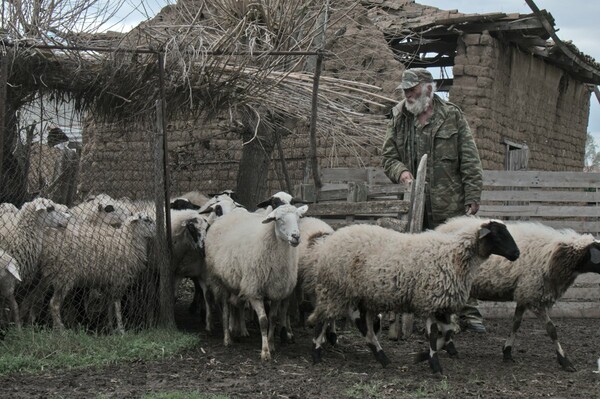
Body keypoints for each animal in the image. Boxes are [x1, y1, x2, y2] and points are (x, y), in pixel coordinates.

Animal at [206, 205, 310, 360]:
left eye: (299, 217)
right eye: (278, 219)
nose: (296, 237)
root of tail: (225, 216)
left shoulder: (277, 292)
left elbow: (272, 318)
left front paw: (272, 345)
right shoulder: (254, 291)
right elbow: (263, 321)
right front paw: (265, 352)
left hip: (235, 281)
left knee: (236, 305)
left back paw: (239, 330)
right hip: (219, 280)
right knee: (225, 310)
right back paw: (227, 338)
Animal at [308, 220, 516, 376]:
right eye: (498, 235)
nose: (516, 254)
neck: (455, 255)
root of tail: (328, 242)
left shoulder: (440, 304)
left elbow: (447, 332)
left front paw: (424, 356)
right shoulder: (431, 300)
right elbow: (433, 335)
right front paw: (434, 365)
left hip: (363, 296)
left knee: (364, 326)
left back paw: (382, 358)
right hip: (334, 289)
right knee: (323, 320)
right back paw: (316, 355)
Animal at [436, 217, 600, 374]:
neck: (553, 255)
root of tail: (441, 227)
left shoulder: (524, 295)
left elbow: (516, 324)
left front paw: (507, 352)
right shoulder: (533, 296)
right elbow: (551, 329)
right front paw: (565, 361)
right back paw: (450, 347)